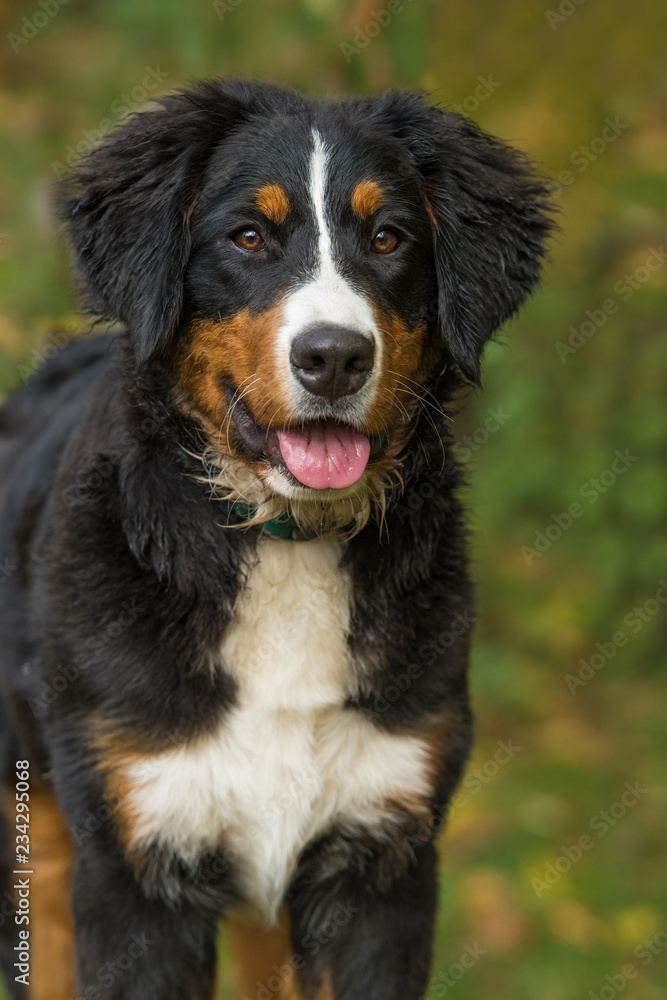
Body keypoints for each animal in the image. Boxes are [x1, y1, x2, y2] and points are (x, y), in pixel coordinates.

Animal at [0, 80, 552, 1000]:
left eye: (387, 237)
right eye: (249, 237)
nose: (334, 357)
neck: (288, 544)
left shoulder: (379, 858)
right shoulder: (136, 865)